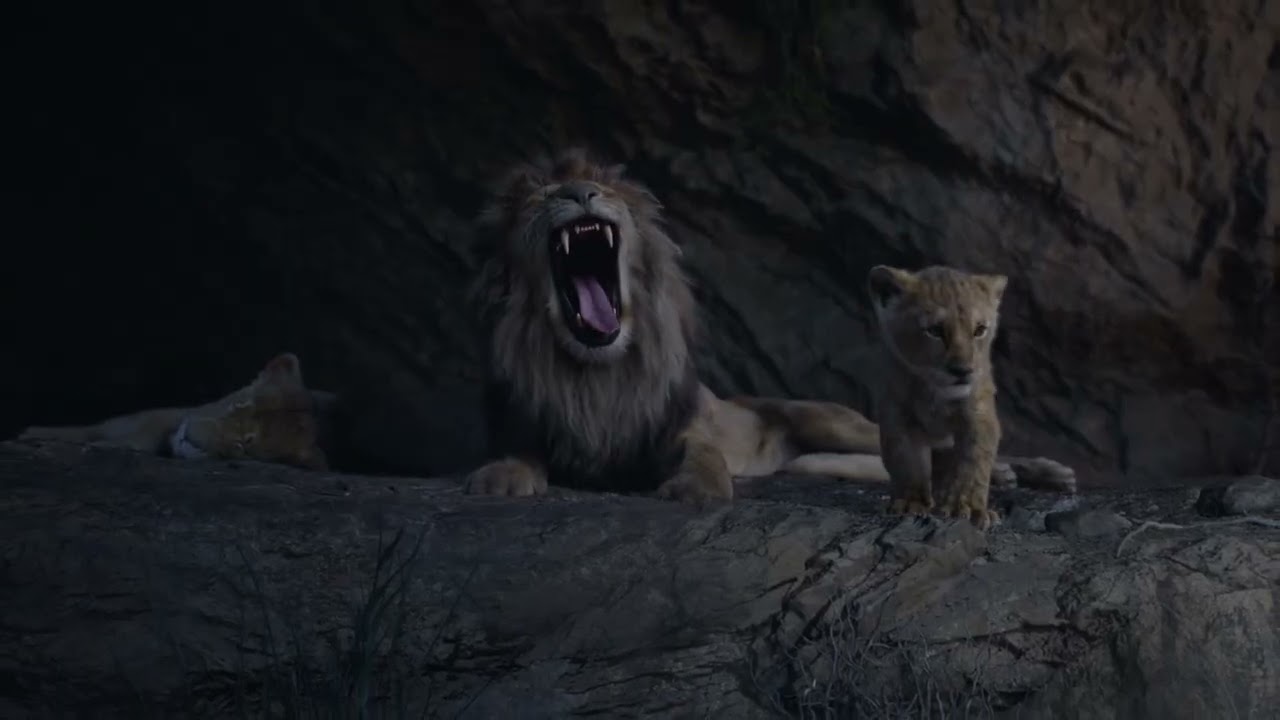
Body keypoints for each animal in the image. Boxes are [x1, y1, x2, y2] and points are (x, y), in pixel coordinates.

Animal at [866, 264, 1013, 529]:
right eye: (935, 331)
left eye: (979, 330)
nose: (963, 370)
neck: (935, 392)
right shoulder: (897, 414)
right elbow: (907, 461)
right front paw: (910, 503)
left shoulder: (978, 413)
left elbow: (973, 461)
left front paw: (967, 508)